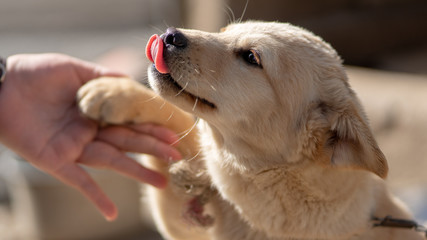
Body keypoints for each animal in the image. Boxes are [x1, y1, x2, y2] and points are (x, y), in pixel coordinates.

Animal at [77, 21, 424, 239]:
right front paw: (113, 92)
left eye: (250, 57)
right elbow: (178, 121)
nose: (170, 35)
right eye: (222, 31)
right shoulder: (185, 221)